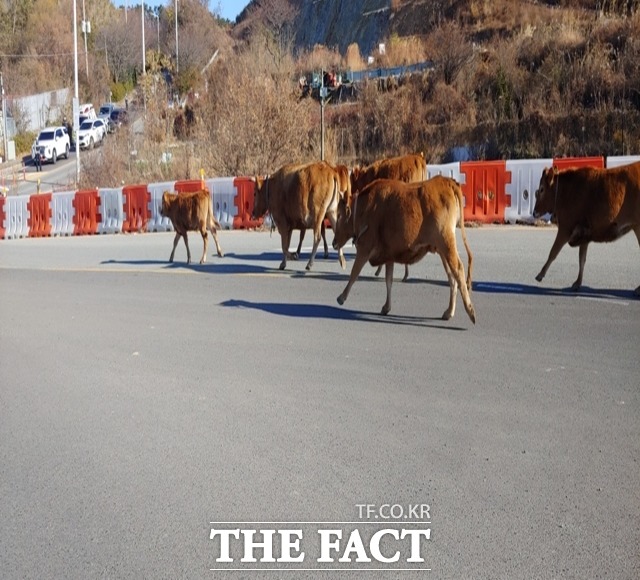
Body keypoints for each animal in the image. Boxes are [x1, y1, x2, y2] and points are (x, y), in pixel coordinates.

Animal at [528, 162, 640, 294]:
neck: (566, 192)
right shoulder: (584, 235)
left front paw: (540, 274)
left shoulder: (565, 229)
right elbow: (582, 259)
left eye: (541, 189)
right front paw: (577, 283)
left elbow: (553, 252)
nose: (534, 212)